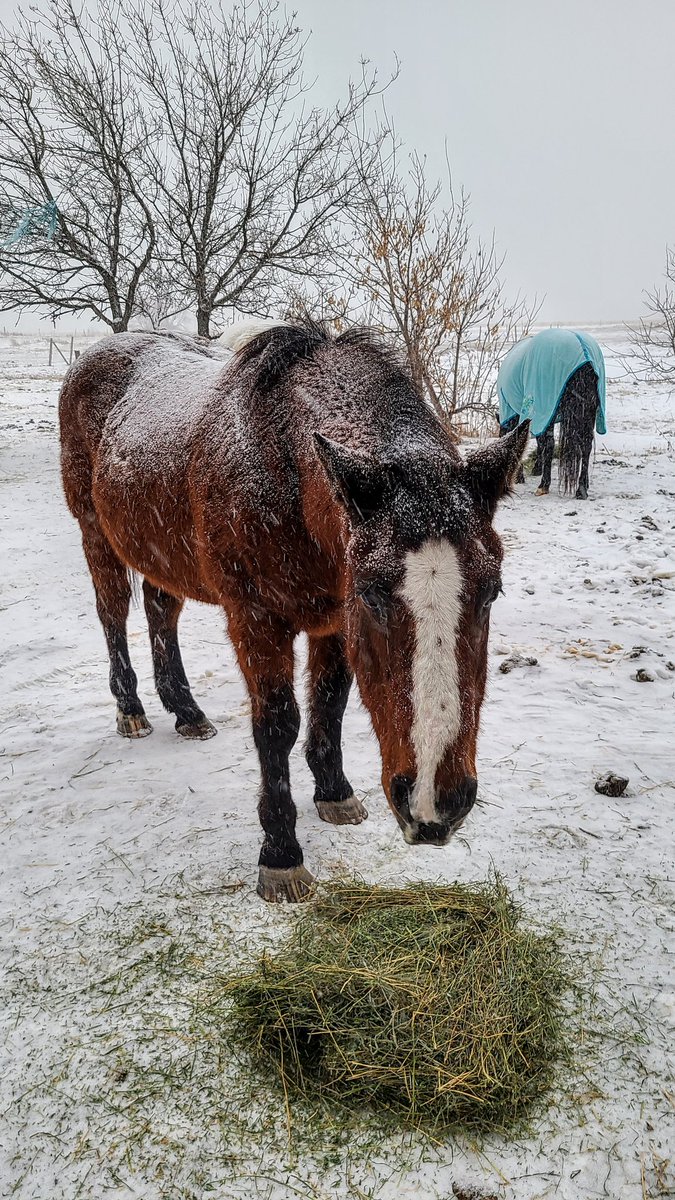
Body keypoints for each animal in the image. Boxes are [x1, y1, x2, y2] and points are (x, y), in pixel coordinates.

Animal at [58, 321, 529, 902]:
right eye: (373, 595)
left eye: (492, 592)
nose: (434, 806)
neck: (283, 472)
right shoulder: (259, 619)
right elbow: (277, 724)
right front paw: (281, 853)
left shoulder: (333, 620)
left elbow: (330, 701)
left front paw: (334, 791)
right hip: (96, 534)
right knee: (113, 614)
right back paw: (131, 709)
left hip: (161, 551)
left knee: (159, 610)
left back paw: (187, 711)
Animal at [497, 328, 606, 499]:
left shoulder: (536, 414)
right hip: (587, 412)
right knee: (586, 444)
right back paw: (582, 488)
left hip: (544, 406)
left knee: (550, 444)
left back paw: (544, 485)